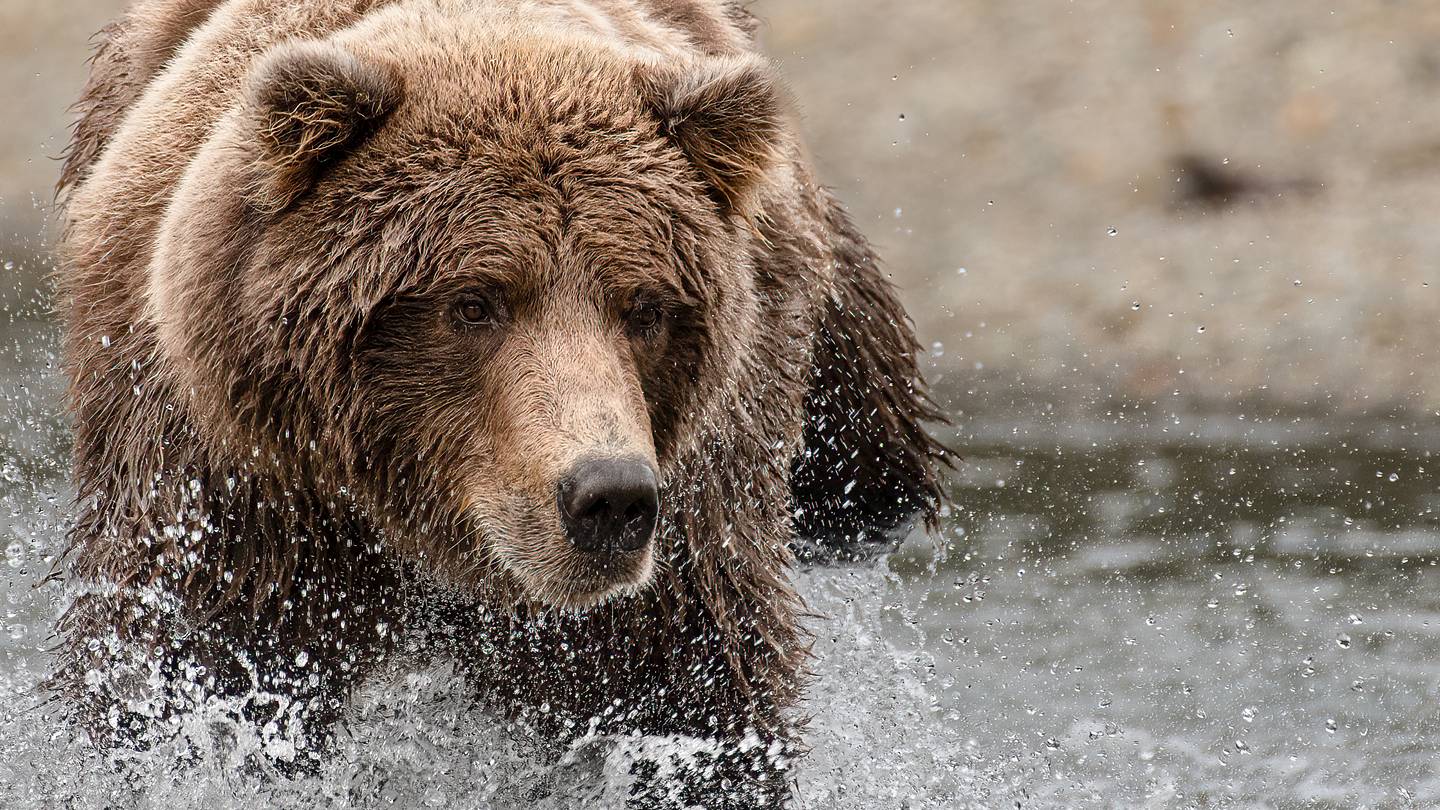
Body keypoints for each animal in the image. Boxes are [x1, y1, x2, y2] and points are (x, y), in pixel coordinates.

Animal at [52, 0, 949, 804]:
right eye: (475, 303)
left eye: (645, 307)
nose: (608, 496)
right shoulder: (241, 498)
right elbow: (192, 680)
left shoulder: (683, 546)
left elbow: (694, 706)